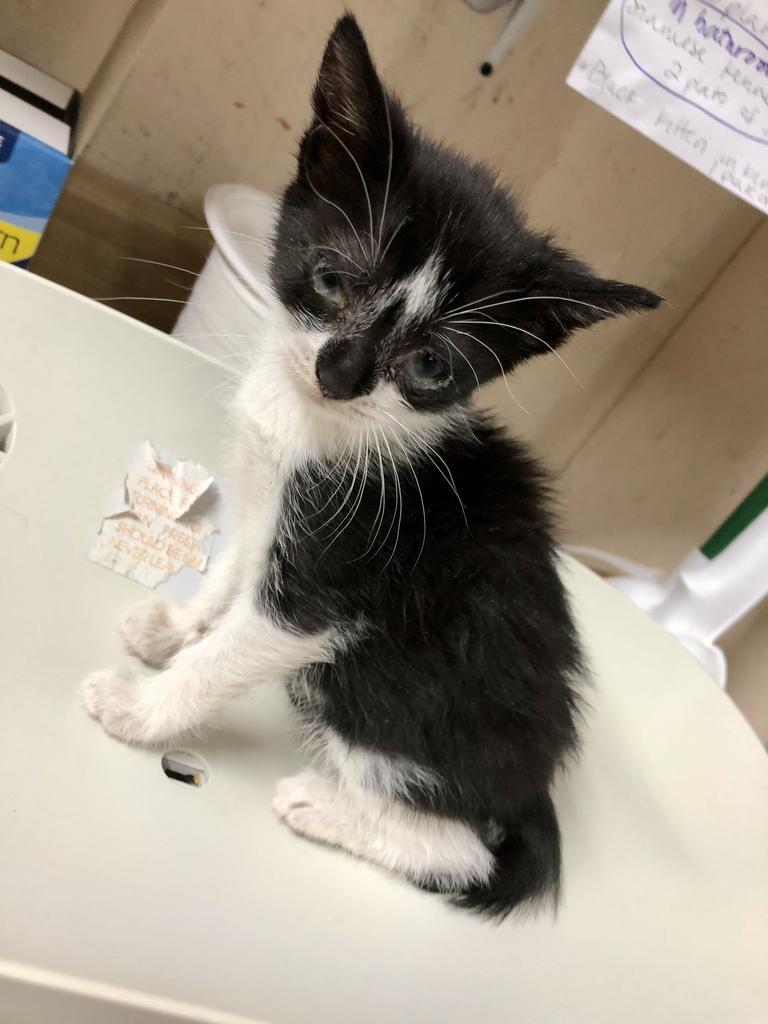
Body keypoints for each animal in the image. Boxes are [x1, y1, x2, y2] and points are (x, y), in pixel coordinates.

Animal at [82, 12, 663, 917]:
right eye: (329, 281)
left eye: (429, 365)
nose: (339, 373)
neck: (316, 426)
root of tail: (533, 790)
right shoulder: (270, 505)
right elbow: (236, 566)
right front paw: (176, 627)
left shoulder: (327, 584)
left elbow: (231, 654)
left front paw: (142, 708)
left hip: (381, 692)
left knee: (460, 848)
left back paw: (324, 806)